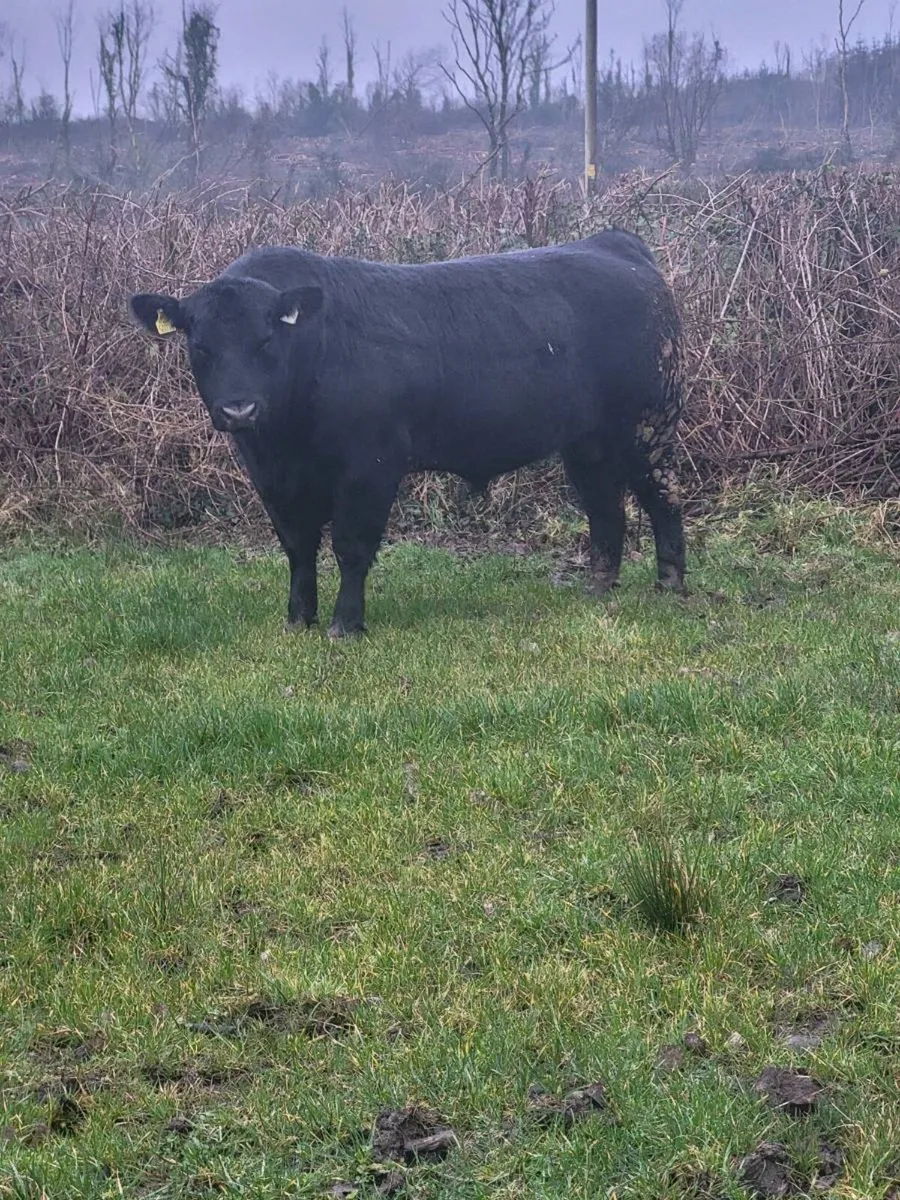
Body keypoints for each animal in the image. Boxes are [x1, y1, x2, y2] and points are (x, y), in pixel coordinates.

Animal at [129, 230, 686, 638]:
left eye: (267, 340)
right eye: (200, 346)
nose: (239, 407)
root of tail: (612, 245)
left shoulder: (369, 467)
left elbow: (351, 546)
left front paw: (345, 625)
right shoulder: (272, 478)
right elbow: (298, 547)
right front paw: (298, 619)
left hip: (649, 425)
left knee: (664, 497)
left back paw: (671, 583)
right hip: (588, 441)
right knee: (605, 506)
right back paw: (598, 586)